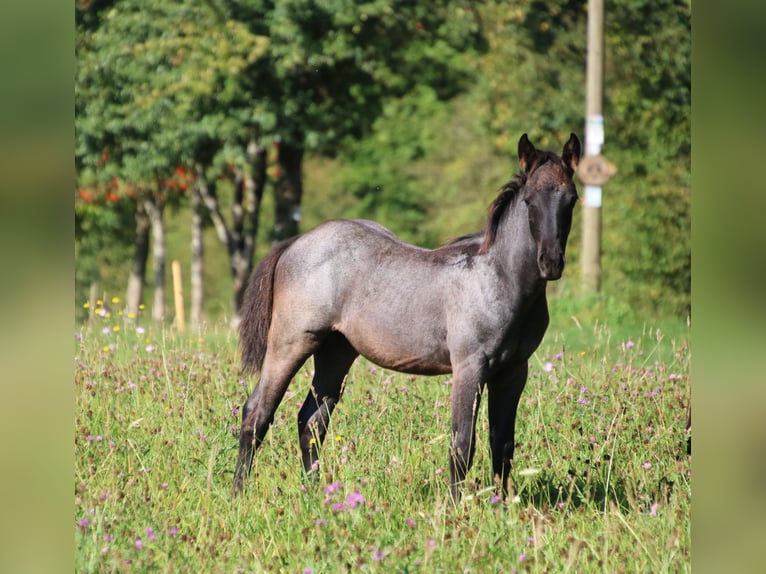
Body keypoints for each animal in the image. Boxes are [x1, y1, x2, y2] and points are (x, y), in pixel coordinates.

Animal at [234, 133, 584, 502]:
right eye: (529, 201)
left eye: (571, 199)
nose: (551, 262)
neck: (498, 277)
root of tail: (296, 242)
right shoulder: (470, 366)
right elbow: (462, 443)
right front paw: (458, 508)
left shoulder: (514, 371)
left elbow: (502, 444)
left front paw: (501, 504)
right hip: (291, 343)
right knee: (256, 414)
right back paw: (238, 494)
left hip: (336, 352)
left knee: (311, 422)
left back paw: (317, 494)